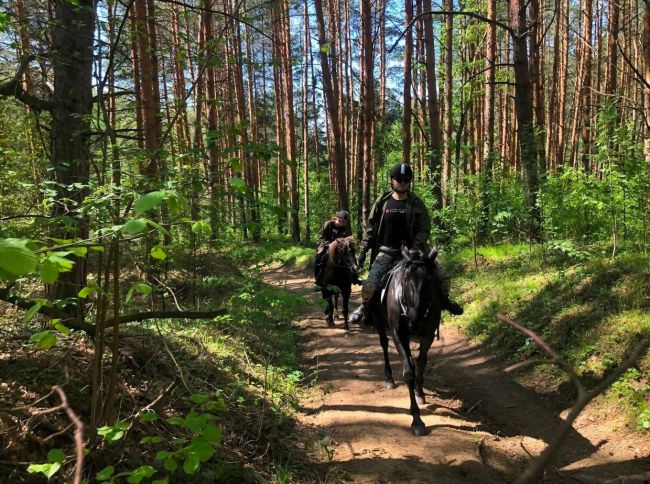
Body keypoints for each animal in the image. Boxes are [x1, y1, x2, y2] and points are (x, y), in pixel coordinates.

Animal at [368, 246, 442, 434]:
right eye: (406, 279)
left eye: (429, 281)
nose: (414, 320)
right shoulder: (398, 334)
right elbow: (408, 371)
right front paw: (417, 420)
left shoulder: (428, 335)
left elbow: (421, 363)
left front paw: (420, 393)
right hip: (378, 318)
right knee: (384, 343)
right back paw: (389, 378)